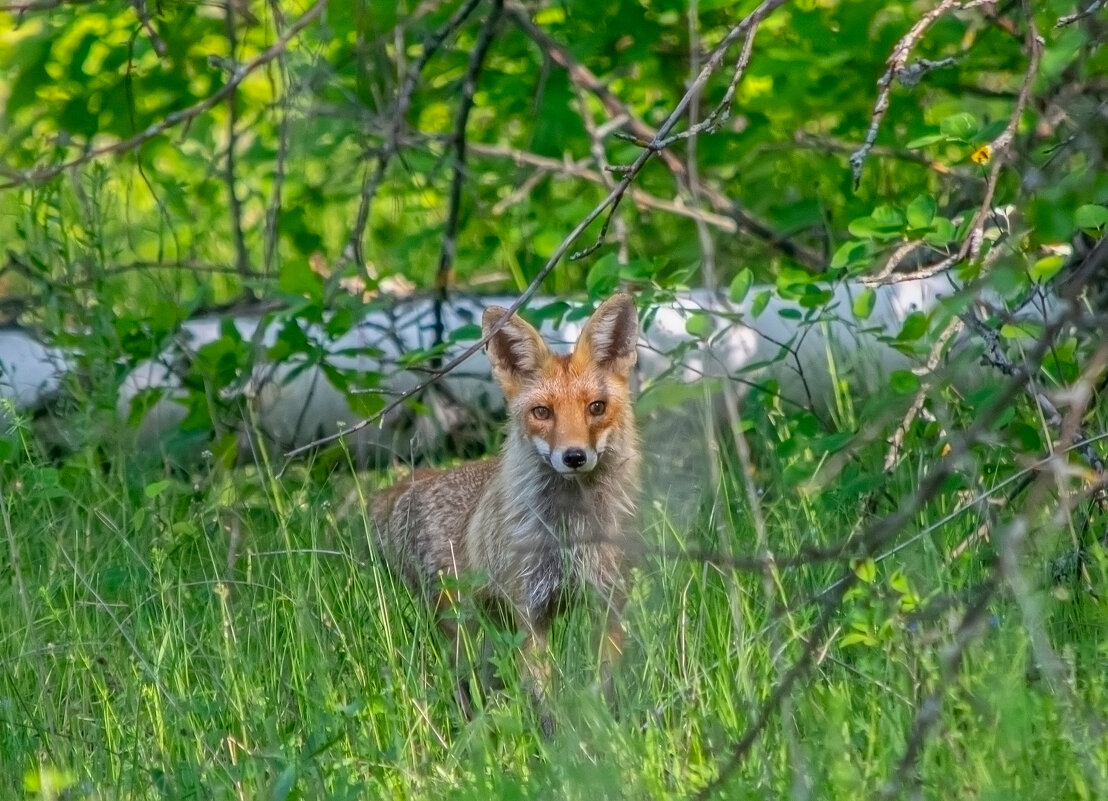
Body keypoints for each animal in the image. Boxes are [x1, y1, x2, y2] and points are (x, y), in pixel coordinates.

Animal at [370, 294, 642, 731]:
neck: (570, 535)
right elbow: (544, 699)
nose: (574, 456)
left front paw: (607, 731)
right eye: (542, 412)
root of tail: (409, 483)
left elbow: (605, 687)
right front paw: (555, 742)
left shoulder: (608, 602)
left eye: (596, 407)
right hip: (461, 626)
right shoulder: (531, 611)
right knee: (462, 684)